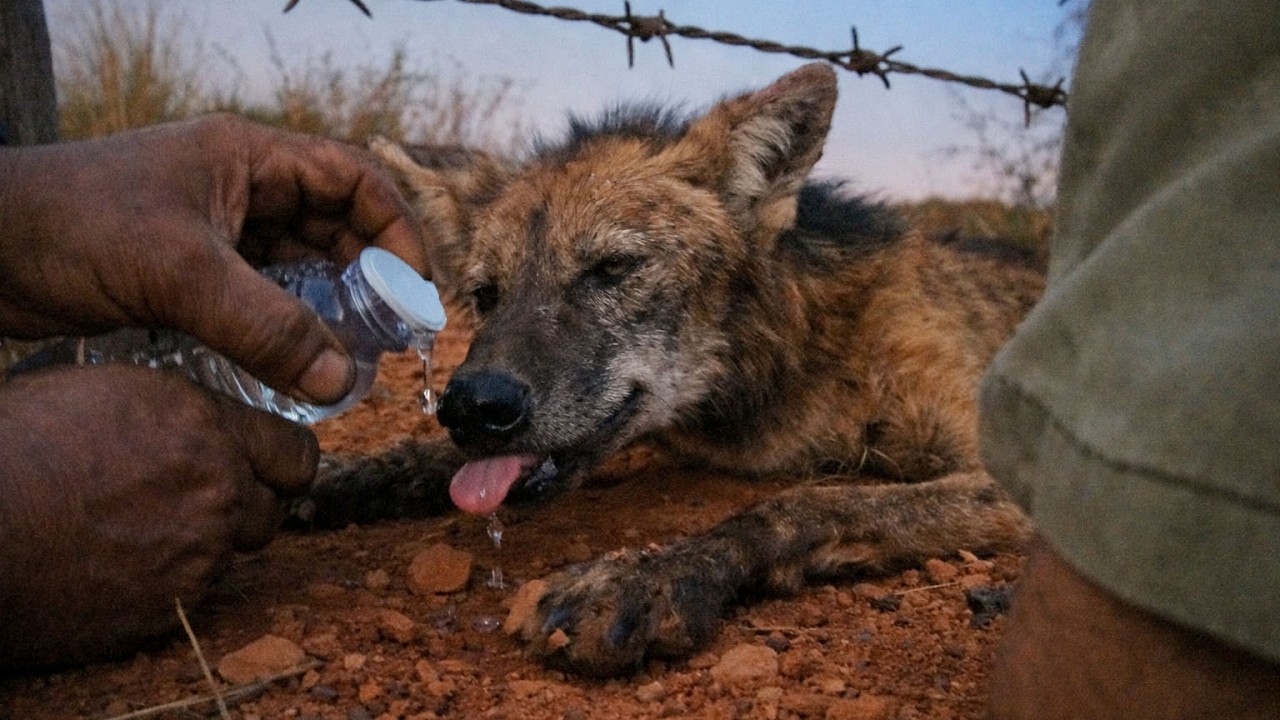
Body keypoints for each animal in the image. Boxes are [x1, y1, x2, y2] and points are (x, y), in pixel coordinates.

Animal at [303, 63, 1044, 677]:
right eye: (486, 295)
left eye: (612, 268)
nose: (472, 406)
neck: (802, 360)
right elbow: (424, 459)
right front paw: (331, 479)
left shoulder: (1017, 482)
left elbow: (803, 503)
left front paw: (649, 578)